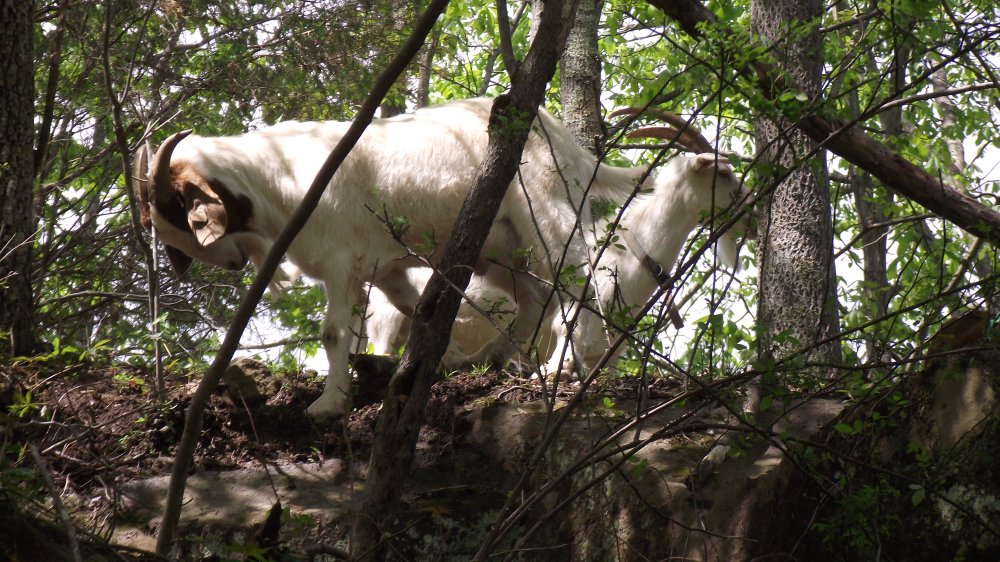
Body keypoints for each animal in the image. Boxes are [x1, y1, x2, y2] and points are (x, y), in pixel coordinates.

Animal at [133, 97, 644, 420]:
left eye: (180, 212)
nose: (233, 265)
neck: (279, 176)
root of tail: (564, 140)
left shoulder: (341, 262)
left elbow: (334, 333)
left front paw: (328, 405)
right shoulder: (386, 266)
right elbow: (415, 310)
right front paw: (448, 361)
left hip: (544, 208)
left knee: (581, 274)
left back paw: (562, 366)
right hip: (501, 248)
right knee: (536, 297)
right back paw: (497, 357)